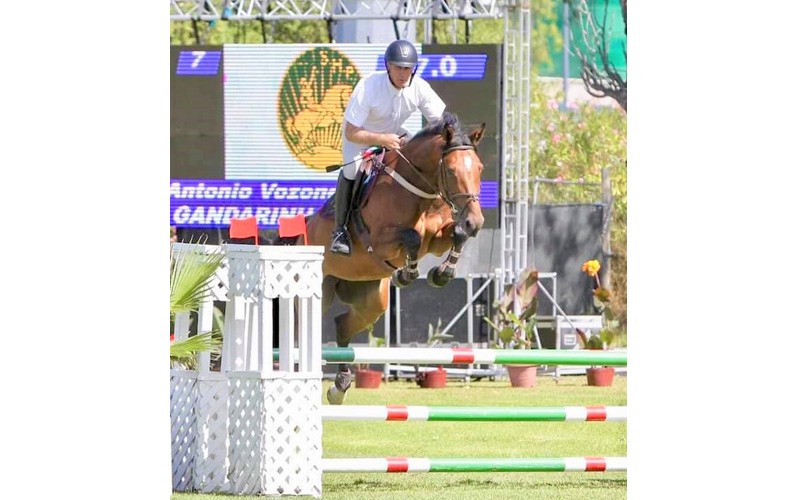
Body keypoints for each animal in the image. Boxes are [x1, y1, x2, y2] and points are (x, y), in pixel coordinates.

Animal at [304, 111, 488, 404]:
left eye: (479, 168)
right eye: (451, 171)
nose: (476, 222)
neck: (419, 191)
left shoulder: (438, 239)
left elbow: (457, 234)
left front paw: (440, 274)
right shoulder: (380, 242)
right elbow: (412, 237)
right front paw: (405, 274)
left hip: (371, 299)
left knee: (342, 325)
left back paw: (339, 386)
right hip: (317, 291)